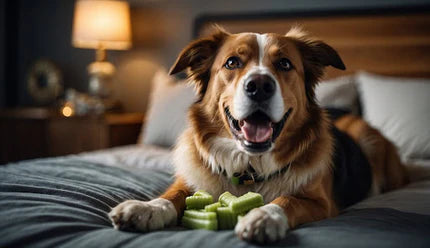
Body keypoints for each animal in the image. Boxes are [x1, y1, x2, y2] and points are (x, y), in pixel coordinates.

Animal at [109, 26, 408, 243]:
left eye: (285, 64)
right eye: (232, 62)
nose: (260, 86)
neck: (248, 168)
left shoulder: (321, 202)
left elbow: (287, 200)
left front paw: (264, 216)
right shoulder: (191, 180)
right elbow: (171, 195)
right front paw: (147, 208)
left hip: (368, 138)